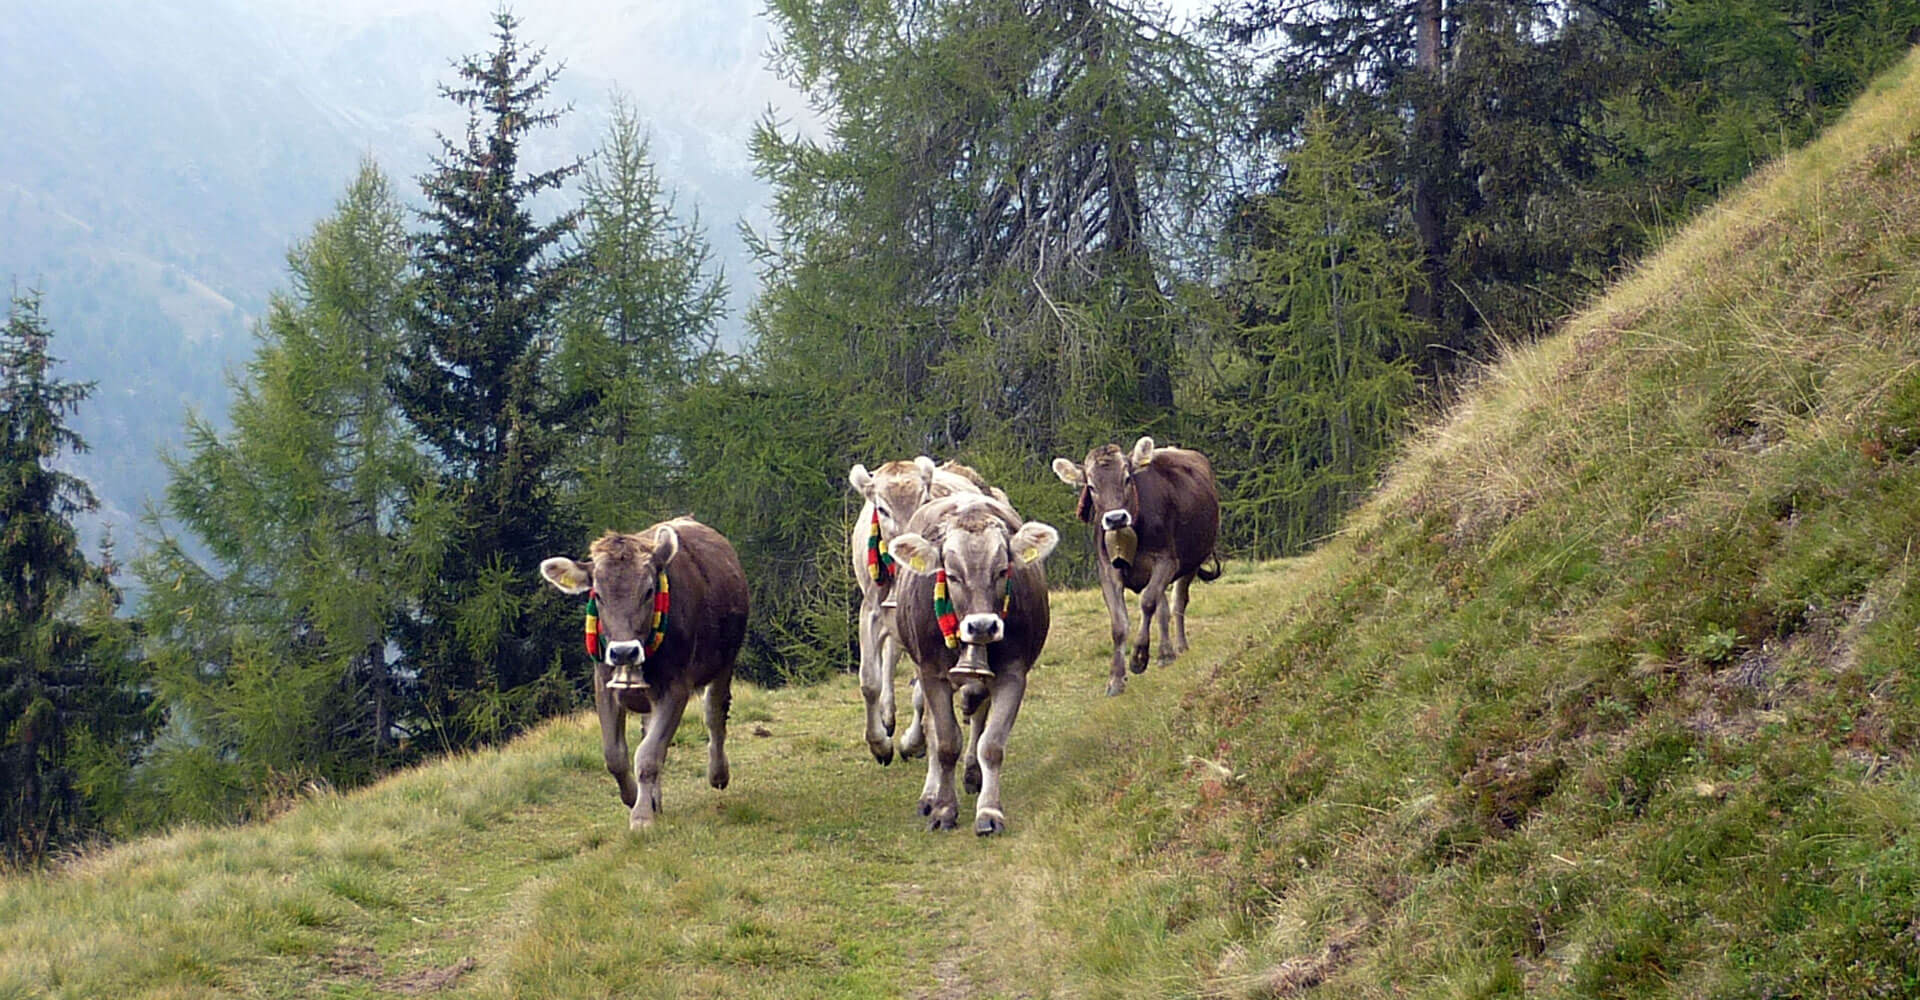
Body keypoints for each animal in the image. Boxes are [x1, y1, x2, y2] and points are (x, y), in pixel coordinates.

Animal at [545, 514, 752, 825]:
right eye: (598, 595)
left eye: (649, 591)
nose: (623, 651)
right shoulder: (603, 684)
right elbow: (615, 755)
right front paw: (635, 799)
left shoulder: (676, 687)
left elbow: (648, 755)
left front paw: (641, 816)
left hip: (724, 661)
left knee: (714, 714)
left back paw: (717, 774)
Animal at [852, 456, 1006, 760]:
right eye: (882, 509)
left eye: (924, 499)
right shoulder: (871, 609)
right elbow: (869, 680)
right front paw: (879, 744)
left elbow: (922, 693)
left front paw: (912, 742)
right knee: (890, 657)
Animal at [887, 491, 1067, 833]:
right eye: (952, 575)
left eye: (1002, 571)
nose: (982, 626)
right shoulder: (932, 673)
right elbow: (945, 743)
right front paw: (944, 809)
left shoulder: (1012, 673)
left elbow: (991, 744)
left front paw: (989, 812)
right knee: (932, 728)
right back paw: (930, 795)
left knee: (978, 716)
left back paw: (973, 774)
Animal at [1052, 437, 1213, 694]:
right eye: (1091, 486)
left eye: (1127, 478)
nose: (1116, 518)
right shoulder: (1107, 571)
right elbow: (1119, 624)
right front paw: (1116, 679)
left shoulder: (1167, 561)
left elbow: (1147, 602)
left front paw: (1138, 657)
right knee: (1163, 606)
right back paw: (1165, 653)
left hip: (1193, 560)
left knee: (1177, 602)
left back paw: (1179, 646)